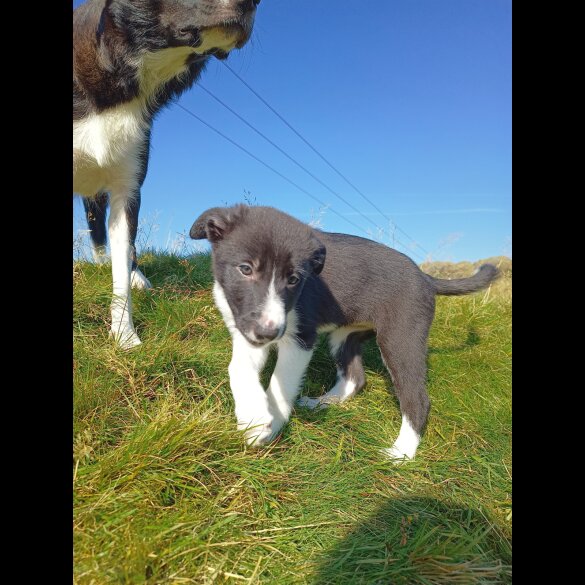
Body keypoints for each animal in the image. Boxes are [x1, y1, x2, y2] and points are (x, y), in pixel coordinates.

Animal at [190, 205, 498, 460]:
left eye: (294, 279)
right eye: (245, 269)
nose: (269, 333)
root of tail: (425, 277)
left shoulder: (300, 338)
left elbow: (280, 383)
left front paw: (269, 424)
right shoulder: (248, 332)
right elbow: (237, 369)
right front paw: (252, 416)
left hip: (401, 338)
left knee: (417, 399)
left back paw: (401, 452)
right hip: (345, 336)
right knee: (354, 378)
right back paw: (322, 402)